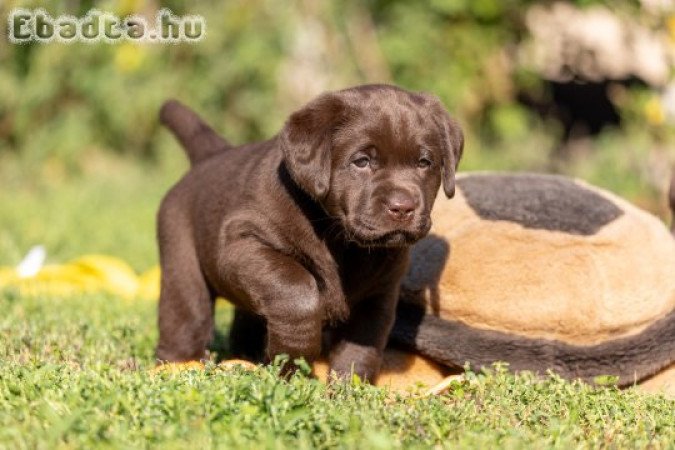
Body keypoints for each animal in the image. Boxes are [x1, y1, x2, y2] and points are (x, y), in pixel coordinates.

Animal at [155, 83, 462, 380]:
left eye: (424, 163)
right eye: (362, 161)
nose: (403, 207)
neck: (343, 244)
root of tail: (210, 156)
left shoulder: (379, 294)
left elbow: (361, 347)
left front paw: (348, 388)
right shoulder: (241, 243)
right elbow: (297, 289)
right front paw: (293, 356)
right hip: (182, 266)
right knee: (186, 319)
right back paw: (175, 368)